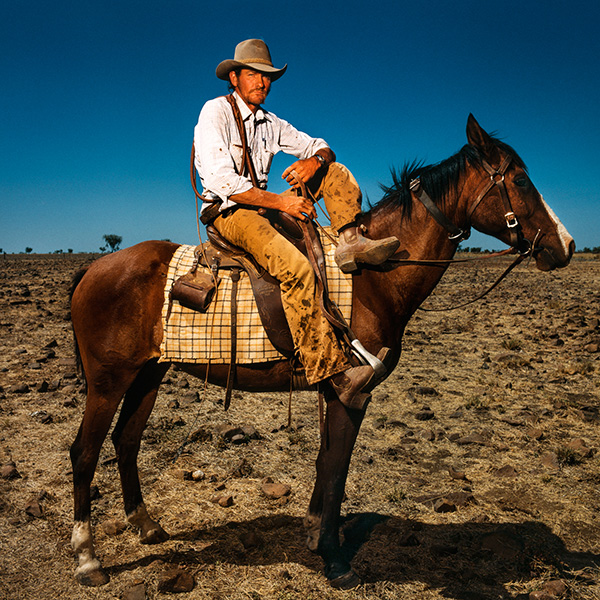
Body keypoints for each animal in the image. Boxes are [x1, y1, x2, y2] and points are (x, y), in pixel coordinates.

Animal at [68, 115, 576, 588]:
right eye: (521, 180)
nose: (566, 246)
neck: (375, 278)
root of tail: (94, 267)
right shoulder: (352, 390)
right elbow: (335, 469)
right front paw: (334, 559)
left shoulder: (336, 392)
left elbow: (327, 462)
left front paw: (315, 535)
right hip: (108, 382)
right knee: (85, 452)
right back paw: (89, 559)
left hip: (148, 375)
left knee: (126, 440)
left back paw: (146, 526)